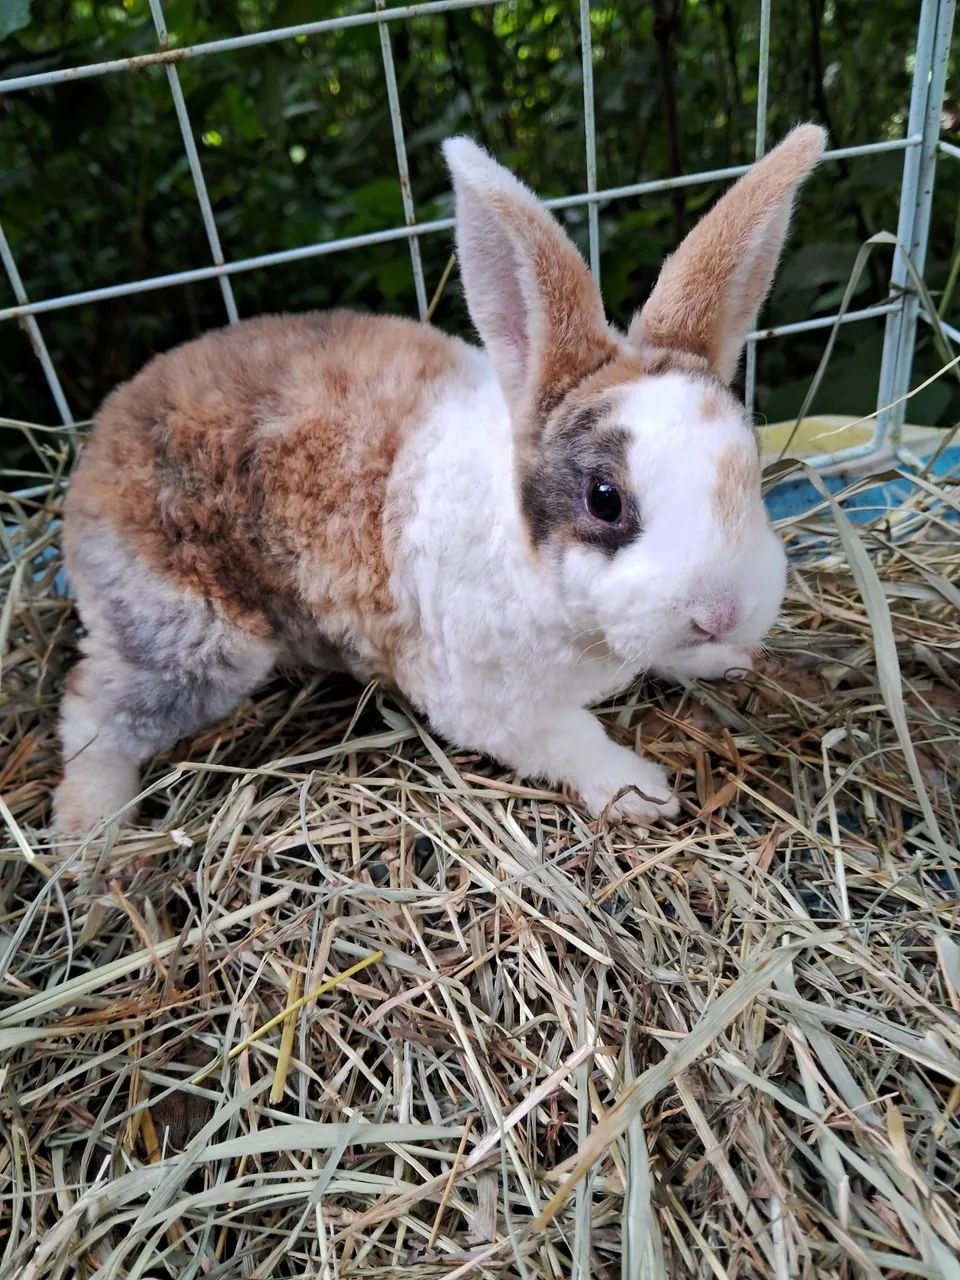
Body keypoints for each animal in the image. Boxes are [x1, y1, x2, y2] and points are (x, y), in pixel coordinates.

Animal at [53, 124, 826, 835]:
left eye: (750, 466)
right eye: (604, 499)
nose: (721, 611)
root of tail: (102, 438)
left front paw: (725, 659)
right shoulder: (483, 703)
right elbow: (570, 738)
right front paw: (640, 792)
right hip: (192, 639)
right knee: (91, 710)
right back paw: (87, 837)